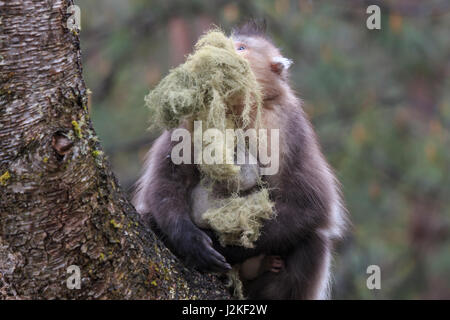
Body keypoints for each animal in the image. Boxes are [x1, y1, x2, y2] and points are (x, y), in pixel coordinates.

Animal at [132, 21, 346, 298]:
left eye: (242, 47)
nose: (223, 52)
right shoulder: (190, 118)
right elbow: (166, 180)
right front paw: (189, 240)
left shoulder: (287, 124)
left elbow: (310, 205)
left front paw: (224, 247)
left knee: (313, 240)